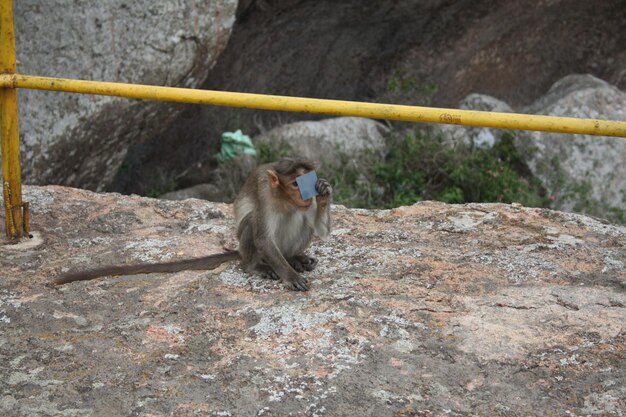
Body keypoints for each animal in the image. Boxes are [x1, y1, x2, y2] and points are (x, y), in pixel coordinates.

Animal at [53, 158, 332, 290]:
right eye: (295, 183)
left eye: (308, 180)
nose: (307, 194)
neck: (284, 199)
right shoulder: (264, 191)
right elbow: (262, 235)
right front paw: (291, 277)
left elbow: (321, 230)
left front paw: (323, 191)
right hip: (250, 251)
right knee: (252, 224)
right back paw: (256, 266)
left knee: (302, 221)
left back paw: (294, 257)